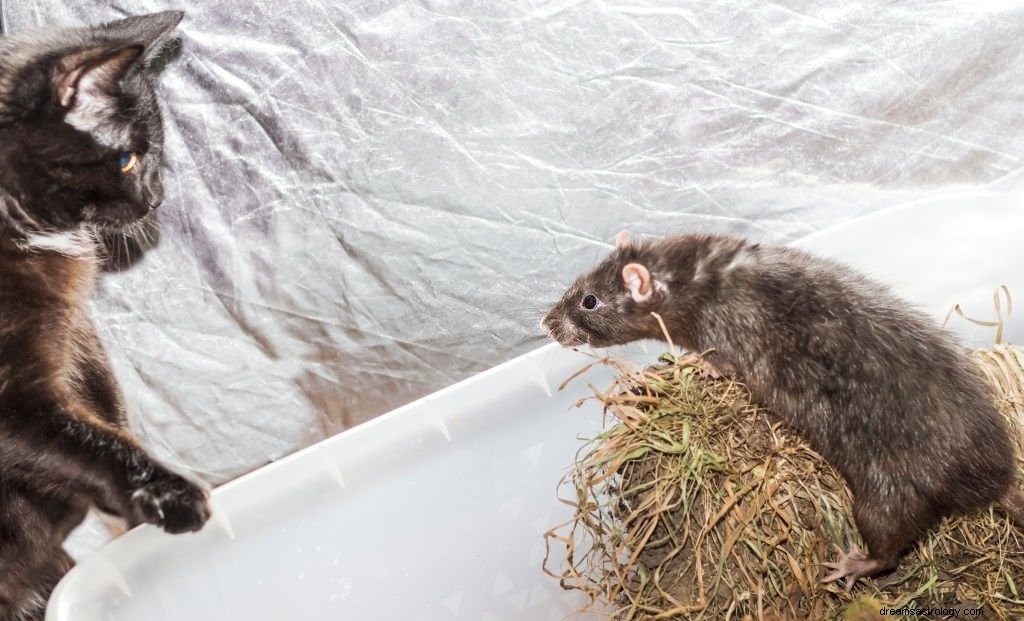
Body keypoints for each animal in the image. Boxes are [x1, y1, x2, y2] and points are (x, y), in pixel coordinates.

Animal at [0, 10, 209, 621]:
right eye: (127, 158)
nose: (158, 197)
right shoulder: (14, 395)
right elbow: (74, 438)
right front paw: (168, 496)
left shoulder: (74, 335)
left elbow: (103, 412)